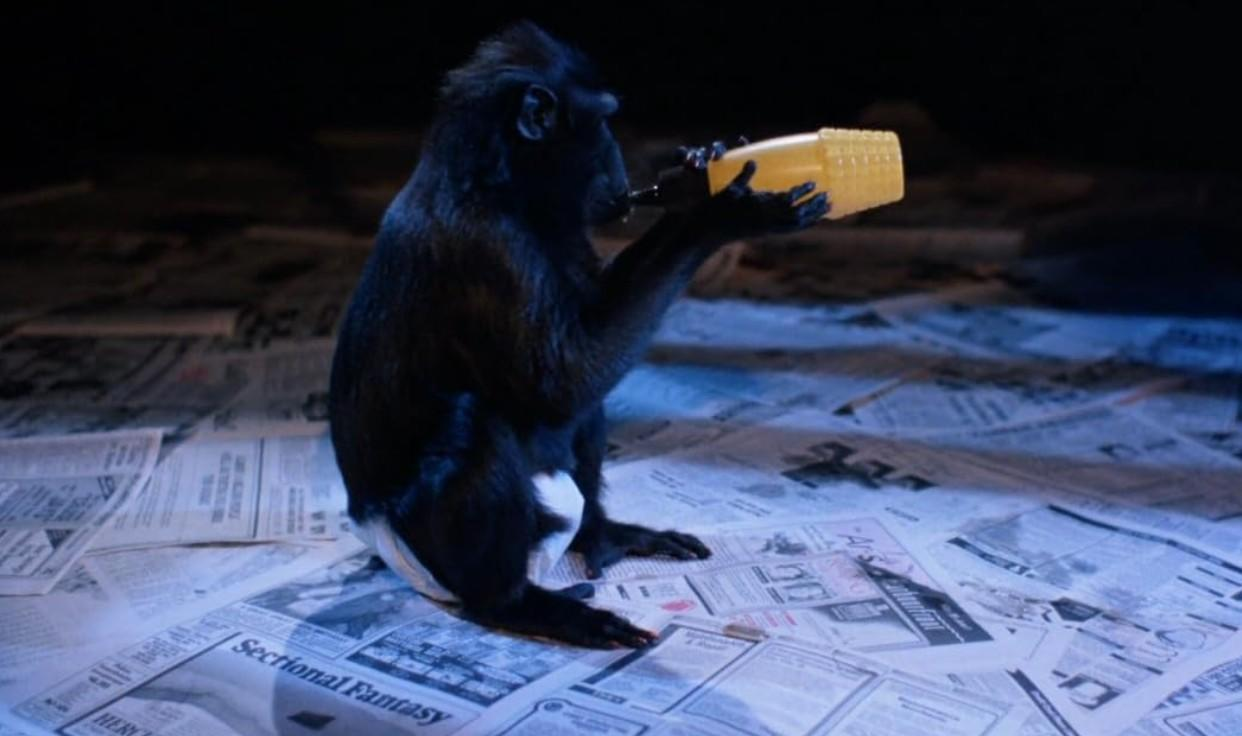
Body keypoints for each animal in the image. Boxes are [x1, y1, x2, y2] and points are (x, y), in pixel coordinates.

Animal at [328, 21, 829, 649]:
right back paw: (517, 603)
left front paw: (705, 168)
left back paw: (602, 532)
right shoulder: (491, 250)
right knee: (478, 427)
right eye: (604, 120)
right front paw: (716, 213)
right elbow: (564, 378)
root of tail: (369, 530)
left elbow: (592, 350)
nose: (623, 160)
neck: (499, 184)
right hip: (426, 556)